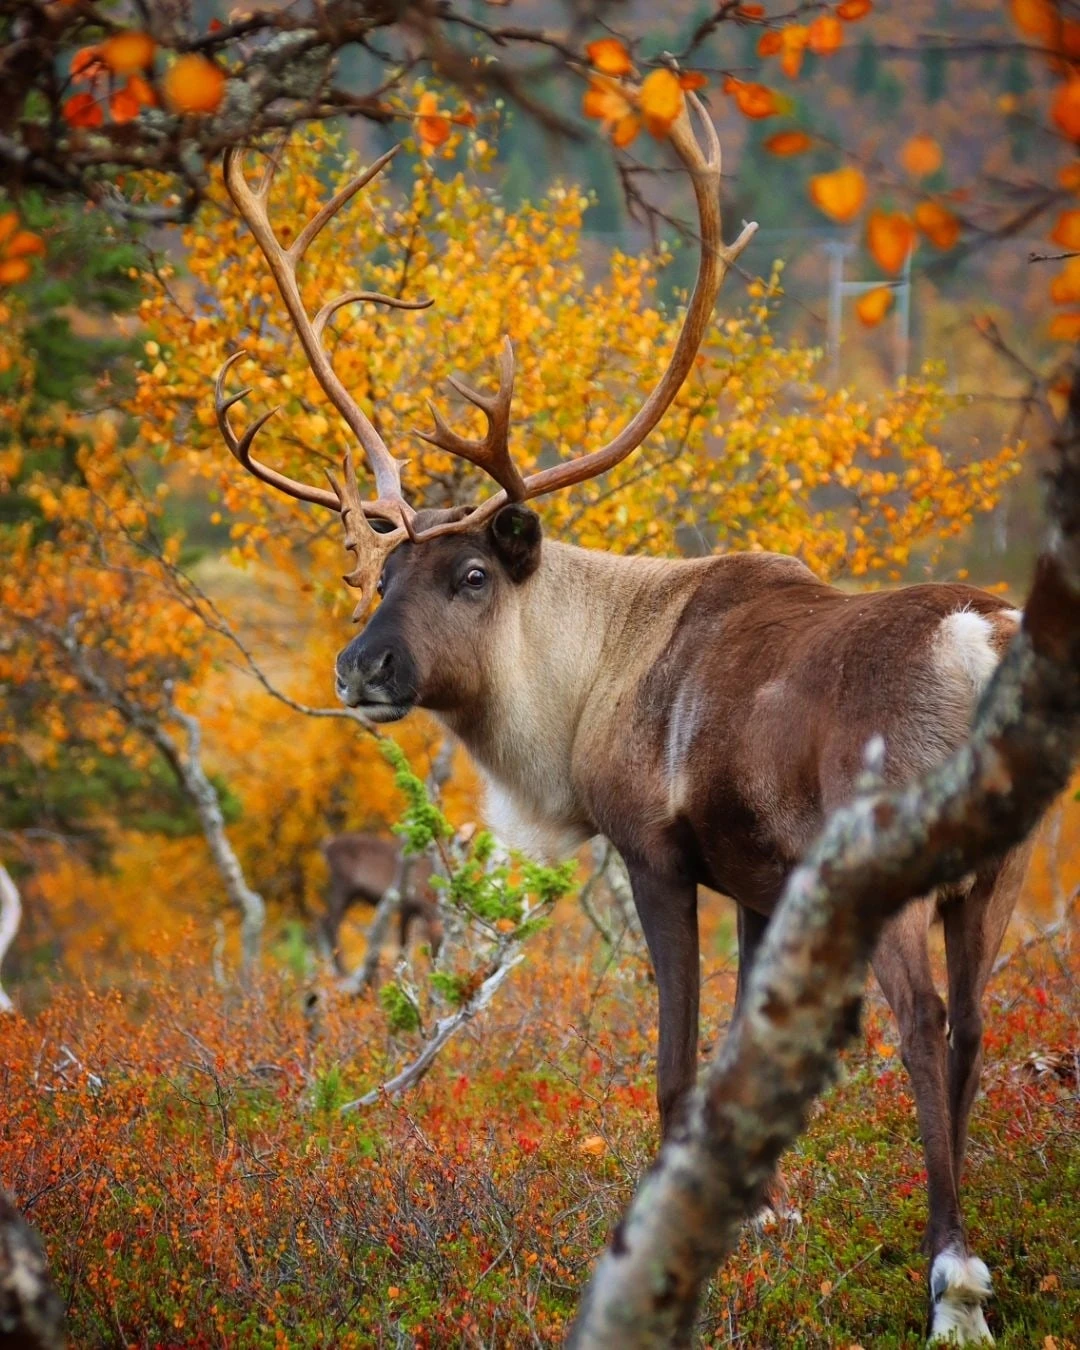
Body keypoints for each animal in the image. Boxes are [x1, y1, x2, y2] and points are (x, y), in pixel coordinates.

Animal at [213, 92, 1035, 1345]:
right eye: (381, 571)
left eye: (470, 576)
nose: (361, 667)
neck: (590, 674)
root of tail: (984, 633)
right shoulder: (762, 884)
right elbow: (746, 1059)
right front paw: (767, 1214)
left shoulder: (655, 850)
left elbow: (677, 1060)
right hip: (997, 872)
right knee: (978, 1024)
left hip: (889, 859)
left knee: (926, 1021)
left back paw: (954, 1282)